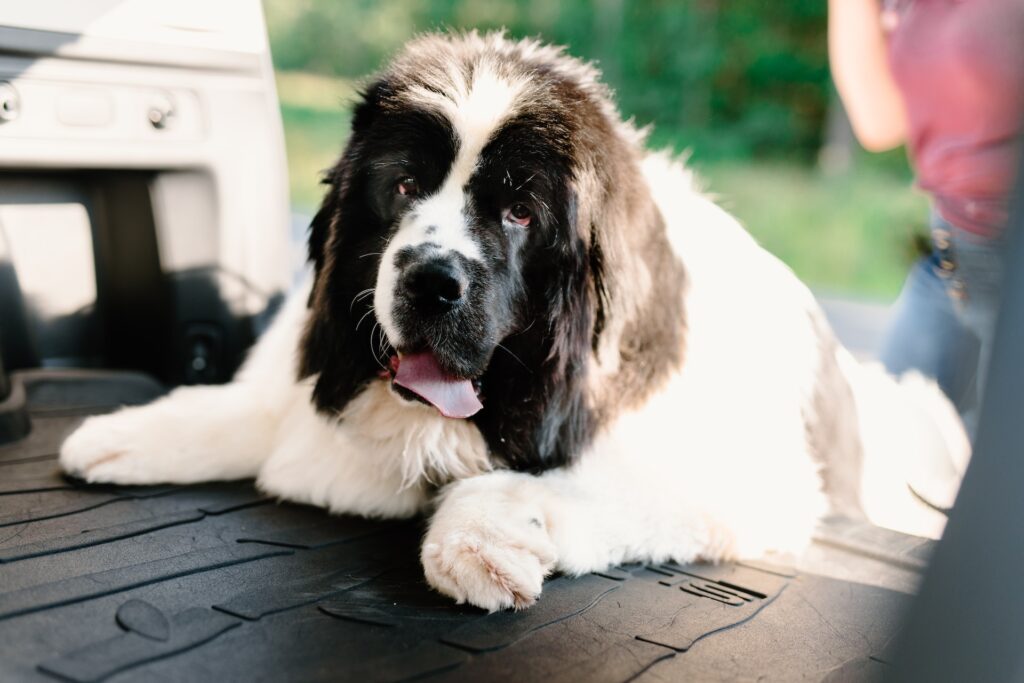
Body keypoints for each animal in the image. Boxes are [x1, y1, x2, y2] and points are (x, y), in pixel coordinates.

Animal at [59, 31, 970, 610]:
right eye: (401, 185)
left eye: (521, 212)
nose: (430, 280)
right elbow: (254, 409)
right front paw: (128, 432)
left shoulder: (738, 483)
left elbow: (549, 482)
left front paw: (478, 538)